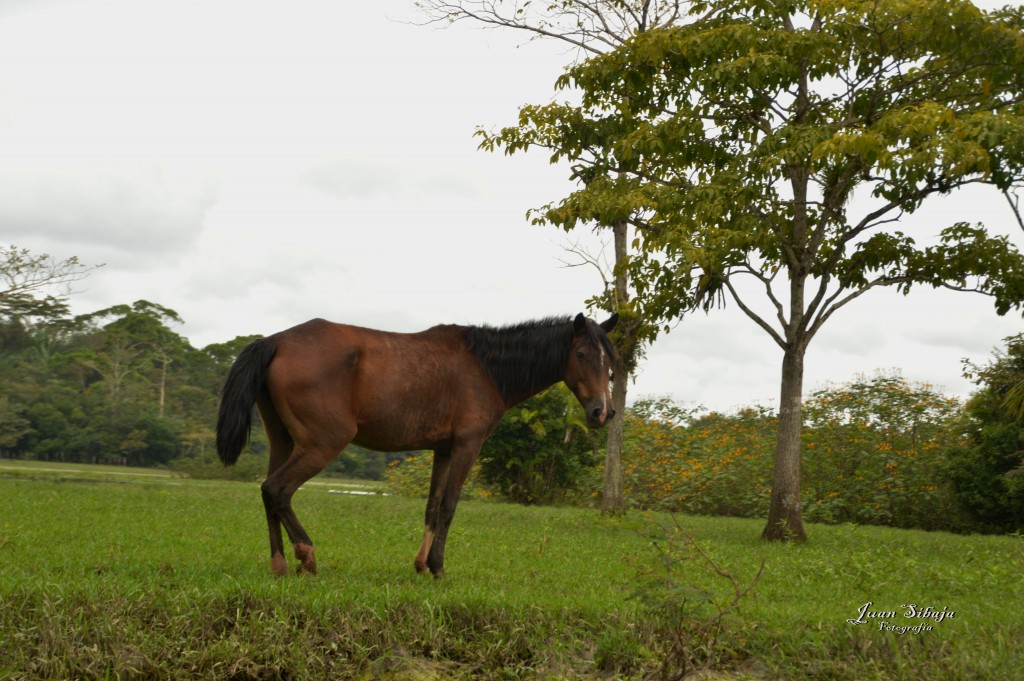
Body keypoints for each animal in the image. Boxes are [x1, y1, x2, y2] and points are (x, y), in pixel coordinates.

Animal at [216, 311, 614, 573]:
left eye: (609, 360)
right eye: (581, 355)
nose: (602, 411)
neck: (486, 368)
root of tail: (276, 341)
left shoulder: (443, 449)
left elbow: (432, 507)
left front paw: (421, 564)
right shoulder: (468, 445)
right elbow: (450, 505)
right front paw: (437, 566)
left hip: (283, 440)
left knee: (268, 492)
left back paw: (280, 564)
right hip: (322, 443)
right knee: (278, 489)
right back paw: (306, 555)